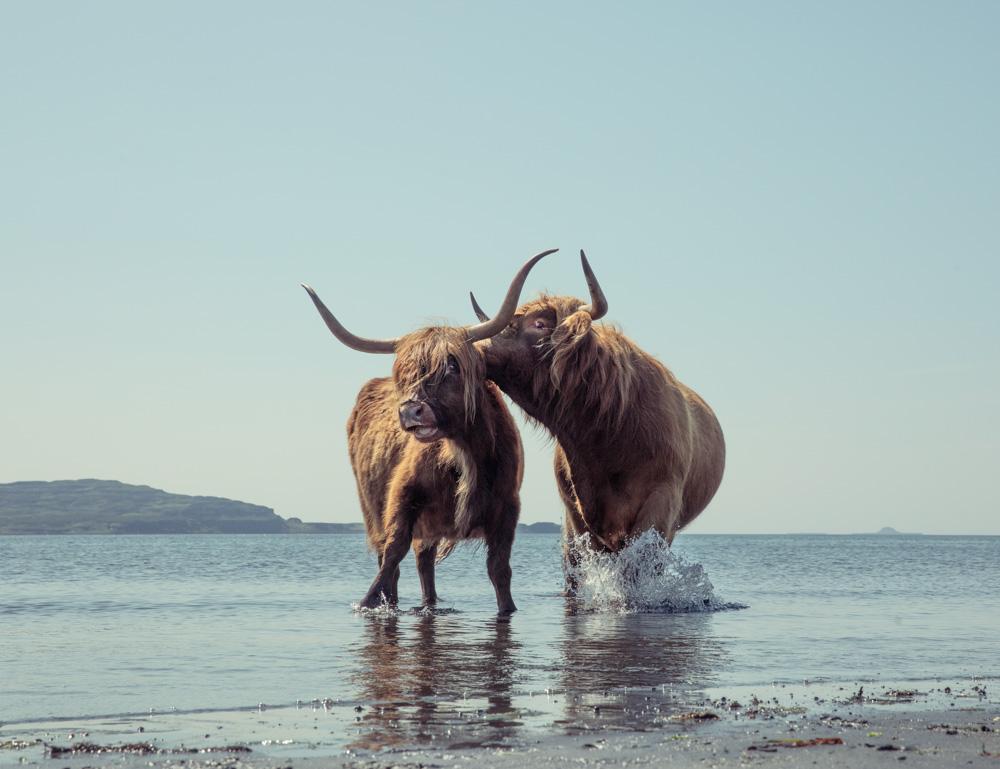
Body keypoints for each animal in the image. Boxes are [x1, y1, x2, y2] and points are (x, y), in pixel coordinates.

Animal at [302, 249, 555, 614]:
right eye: (404, 374)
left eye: (452, 365)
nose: (410, 410)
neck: (462, 452)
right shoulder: (401, 497)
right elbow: (392, 554)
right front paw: (367, 603)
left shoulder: (508, 508)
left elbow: (499, 569)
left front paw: (508, 608)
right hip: (372, 508)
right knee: (392, 558)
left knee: (424, 564)